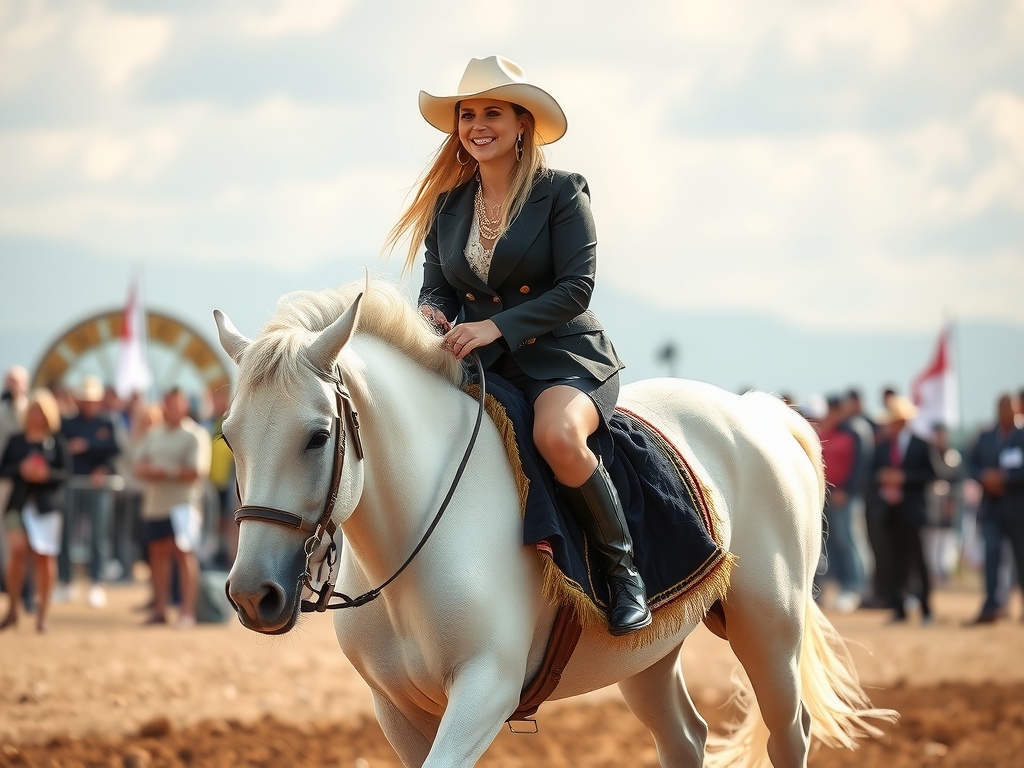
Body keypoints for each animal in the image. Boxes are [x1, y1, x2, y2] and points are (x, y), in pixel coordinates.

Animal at [218, 280, 897, 765]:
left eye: (317, 436)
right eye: (229, 436)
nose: (253, 595)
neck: (412, 540)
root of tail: (759, 412)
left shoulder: (485, 692)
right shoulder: (397, 710)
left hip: (769, 629)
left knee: (789, 733)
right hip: (650, 656)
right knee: (685, 738)